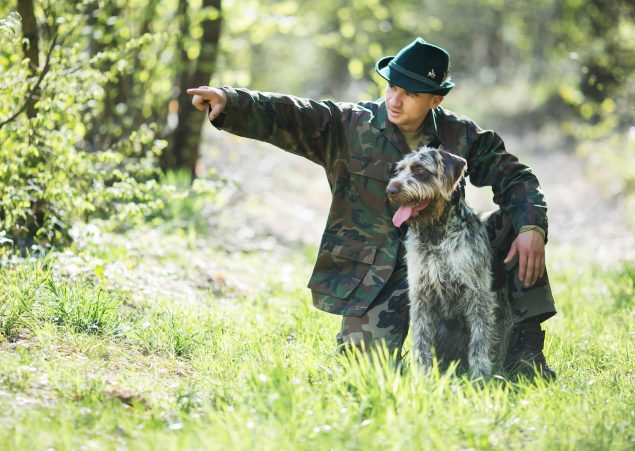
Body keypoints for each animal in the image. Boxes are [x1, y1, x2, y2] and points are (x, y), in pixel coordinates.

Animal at [388, 147, 512, 380]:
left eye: (419, 169)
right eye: (399, 171)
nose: (391, 189)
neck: (435, 234)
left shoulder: (478, 294)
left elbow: (480, 340)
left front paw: (480, 376)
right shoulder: (421, 295)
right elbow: (422, 340)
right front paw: (423, 375)